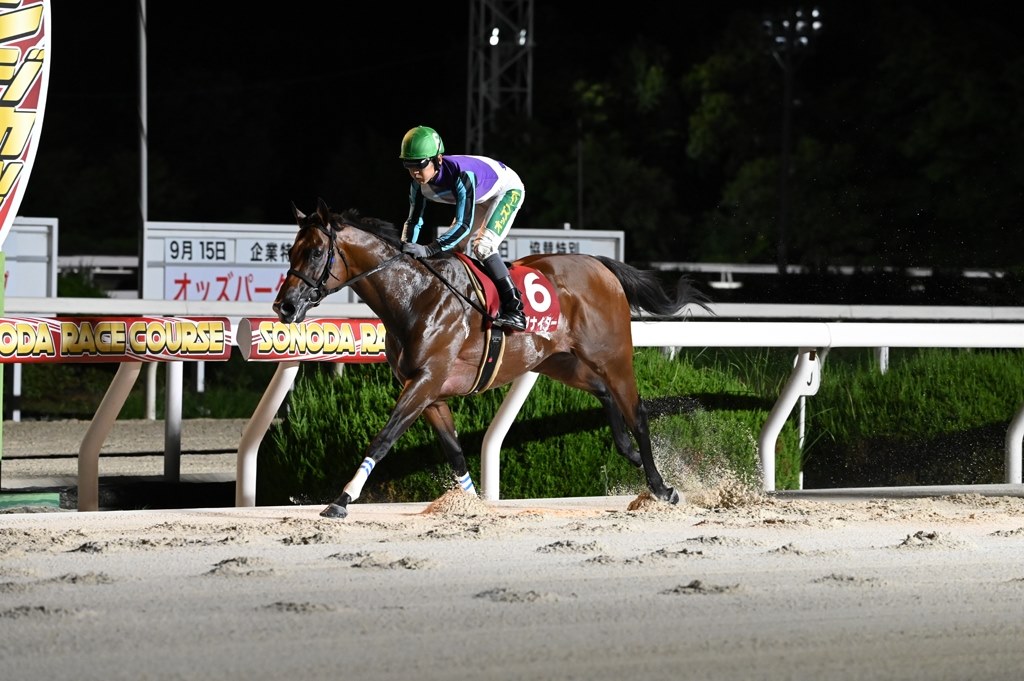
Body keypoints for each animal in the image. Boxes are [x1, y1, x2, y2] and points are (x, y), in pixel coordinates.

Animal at [274, 198, 712, 518]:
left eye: (316, 252)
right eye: (290, 250)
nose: (284, 306)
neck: (415, 296)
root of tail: (599, 265)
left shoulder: (426, 381)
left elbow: (384, 438)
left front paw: (341, 500)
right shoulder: (430, 392)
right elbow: (453, 452)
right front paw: (472, 504)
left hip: (612, 355)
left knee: (637, 412)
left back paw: (661, 487)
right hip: (557, 360)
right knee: (604, 393)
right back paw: (630, 453)